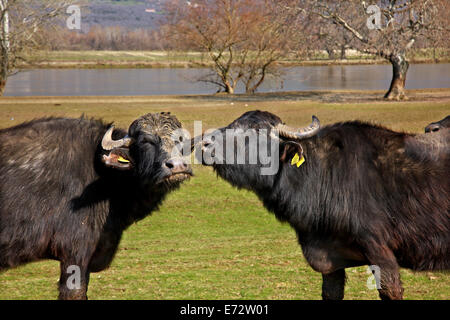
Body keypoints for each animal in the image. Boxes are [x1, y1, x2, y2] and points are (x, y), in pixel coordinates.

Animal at [196, 110, 450, 300]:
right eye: (233, 124)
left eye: (253, 134)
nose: (204, 143)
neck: (323, 176)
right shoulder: (330, 261)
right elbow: (330, 293)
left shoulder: (380, 251)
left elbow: (390, 290)